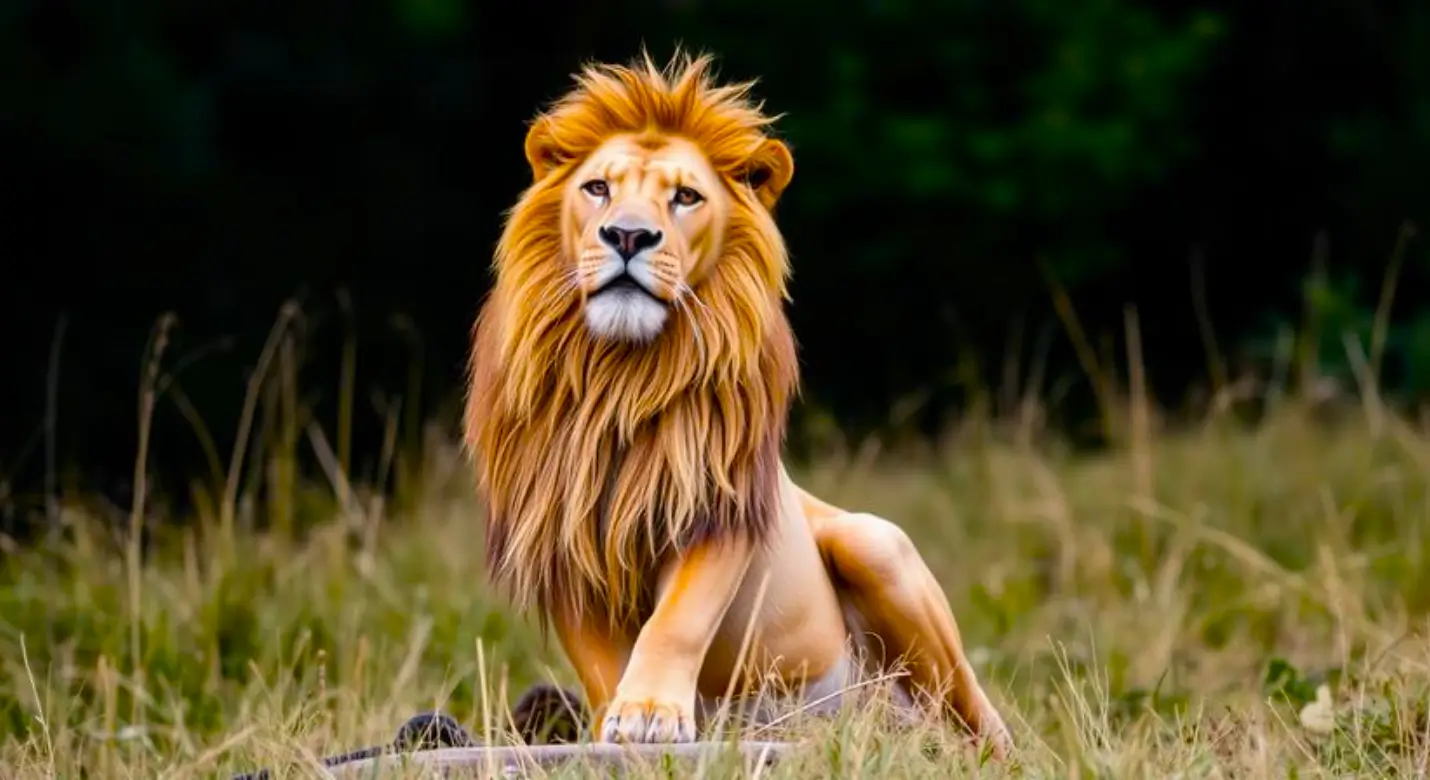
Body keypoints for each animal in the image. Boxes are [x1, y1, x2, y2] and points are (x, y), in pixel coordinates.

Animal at [462, 51, 1012, 757]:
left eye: (685, 197)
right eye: (598, 189)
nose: (628, 236)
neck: (619, 378)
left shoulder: (715, 505)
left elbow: (678, 619)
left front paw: (651, 713)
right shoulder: (558, 530)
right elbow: (598, 659)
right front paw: (619, 720)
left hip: (875, 544)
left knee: (979, 715)